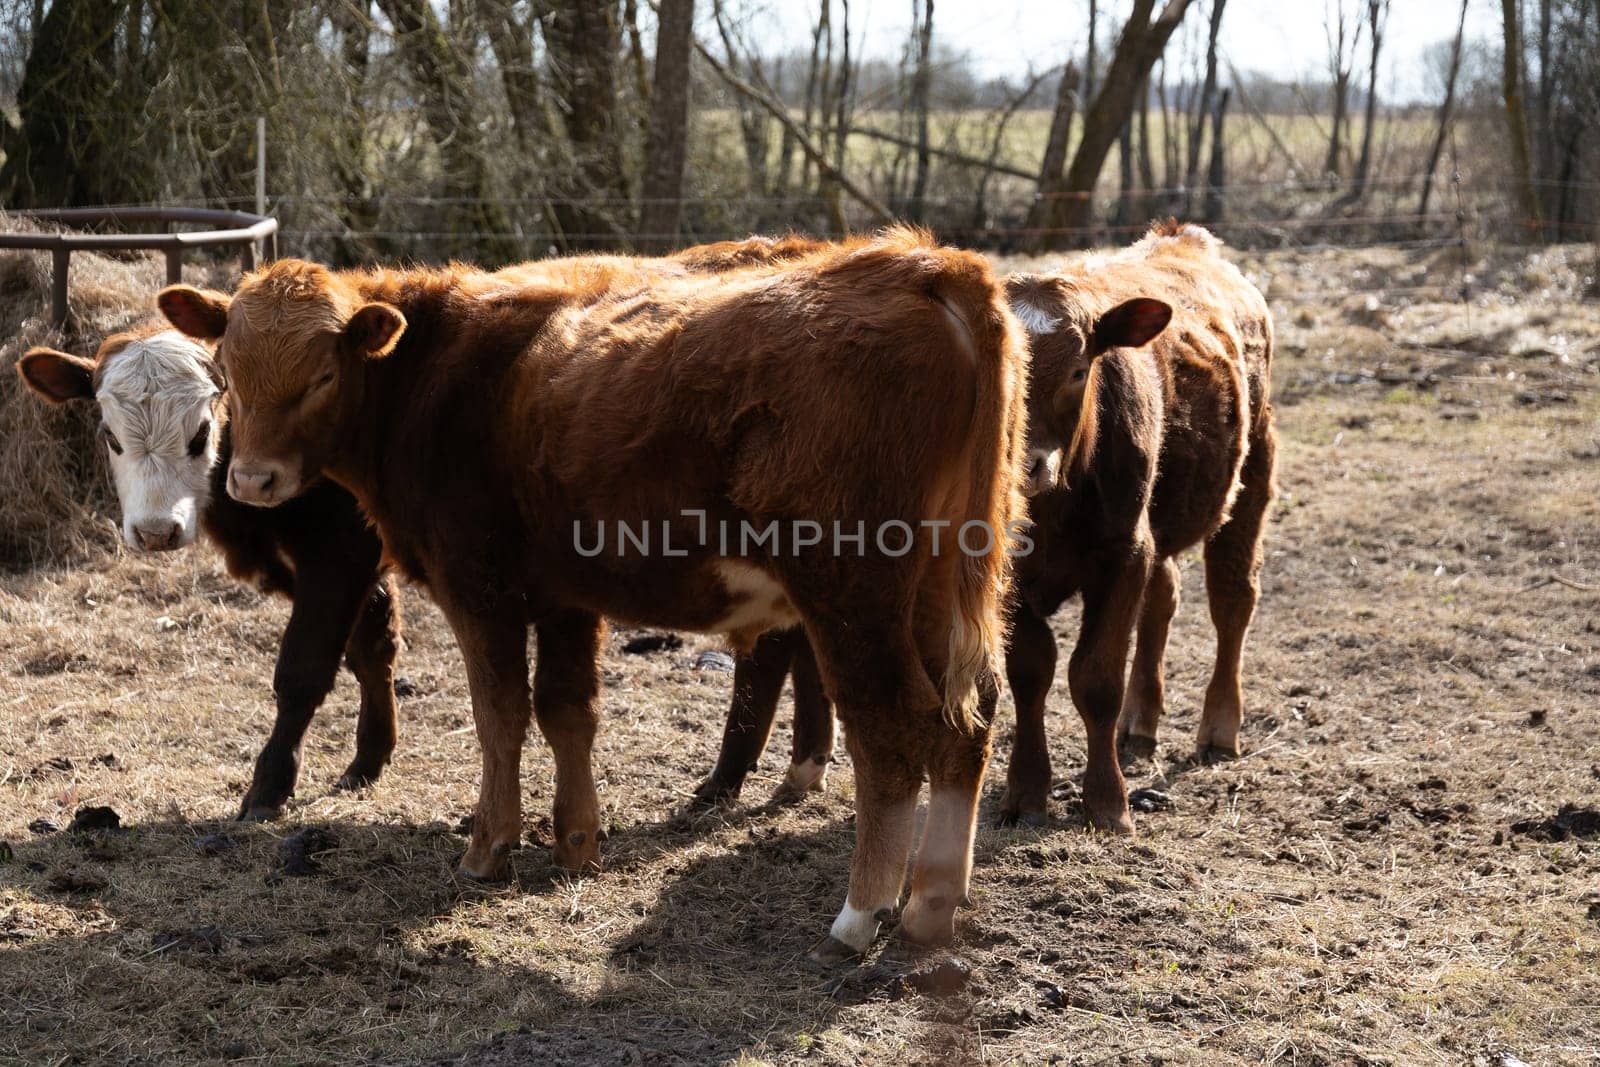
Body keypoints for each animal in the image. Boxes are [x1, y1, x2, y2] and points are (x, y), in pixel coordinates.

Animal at [159, 231, 1024, 959]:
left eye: (322, 374)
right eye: (228, 368)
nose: (252, 479)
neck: (437, 374)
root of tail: (921, 264)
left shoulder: (480, 588)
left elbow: (501, 714)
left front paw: (489, 846)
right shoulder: (565, 596)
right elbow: (567, 710)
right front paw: (576, 841)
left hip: (852, 592)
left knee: (891, 728)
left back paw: (860, 911)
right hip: (938, 588)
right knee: (970, 720)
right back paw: (931, 904)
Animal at [697, 220, 1273, 838]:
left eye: (1078, 370)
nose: (1027, 465)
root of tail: (1184, 239)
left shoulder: (1124, 553)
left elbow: (1096, 678)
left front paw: (1106, 803)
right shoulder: (1005, 577)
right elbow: (1031, 671)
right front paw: (1027, 791)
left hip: (1254, 472)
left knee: (1232, 600)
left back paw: (1220, 728)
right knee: (1164, 599)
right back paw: (1140, 725)